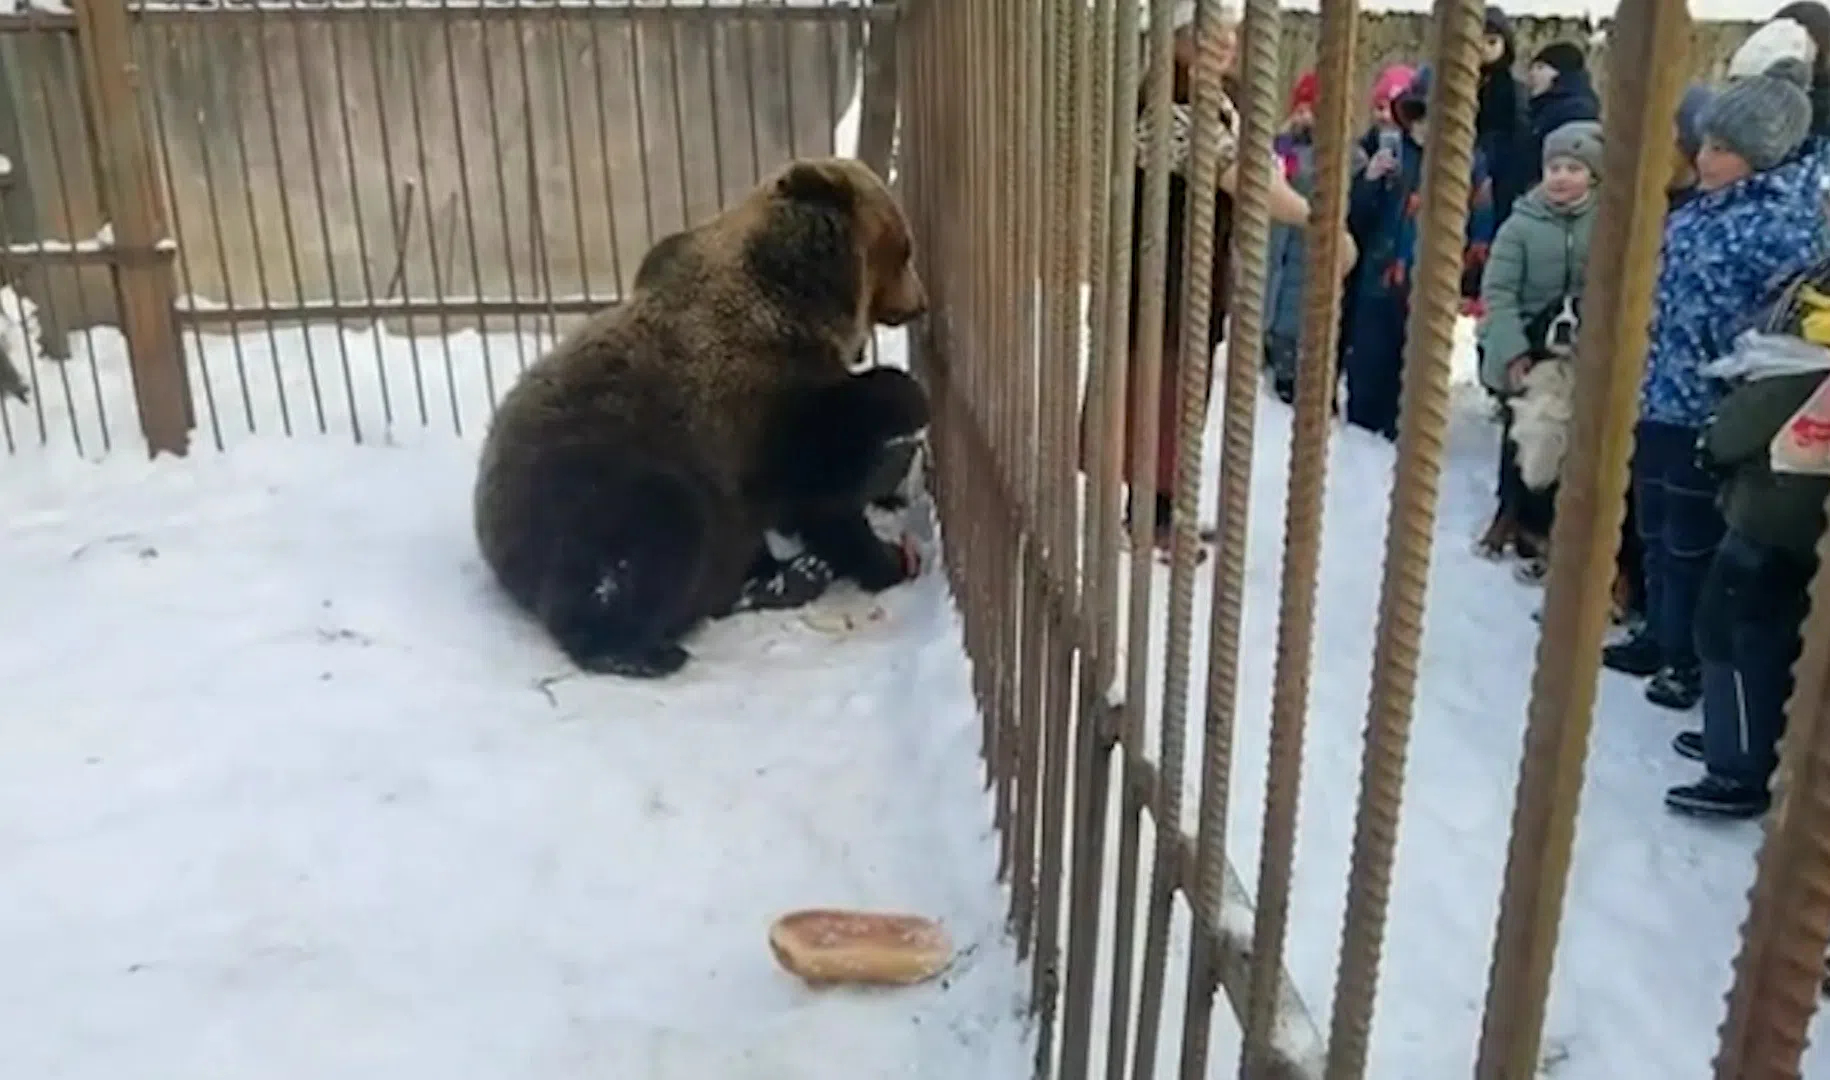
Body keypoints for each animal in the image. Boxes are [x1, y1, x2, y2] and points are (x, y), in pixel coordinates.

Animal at [472, 156, 929, 680]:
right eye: (905, 249)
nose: (920, 301)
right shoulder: (751, 399)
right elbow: (820, 473)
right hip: (591, 486)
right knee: (654, 532)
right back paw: (640, 648)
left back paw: (790, 577)